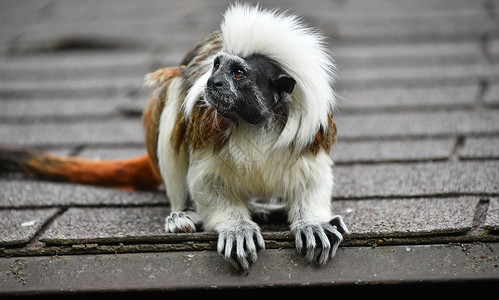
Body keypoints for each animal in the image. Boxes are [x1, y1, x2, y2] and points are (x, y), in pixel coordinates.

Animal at [0, 3, 348, 270]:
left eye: (238, 73)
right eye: (217, 67)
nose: (213, 82)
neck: (253, 123)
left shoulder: (309, 136)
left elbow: (313, 180)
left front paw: (312, 223)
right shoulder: (205, 126)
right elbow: (206, 184)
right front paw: (237, 227)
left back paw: (261, 208)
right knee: (174, 93)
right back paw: (183, 214)